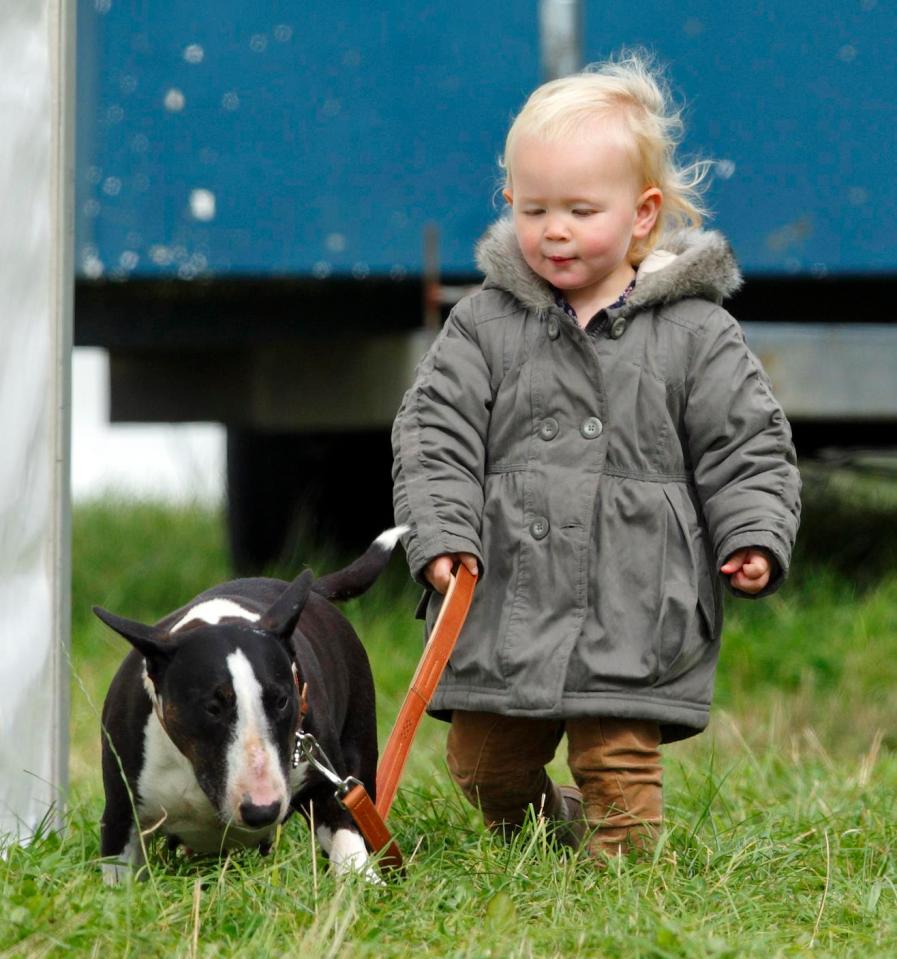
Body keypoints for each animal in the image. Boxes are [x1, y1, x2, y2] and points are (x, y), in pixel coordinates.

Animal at [93, 524, 404, 884]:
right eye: (212, 707)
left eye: (282, 700)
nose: (262, 810)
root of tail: (314, 590)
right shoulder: (121, 814)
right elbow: (120, 880)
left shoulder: (329, 789)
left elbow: (348, 844)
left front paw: (365, 887)